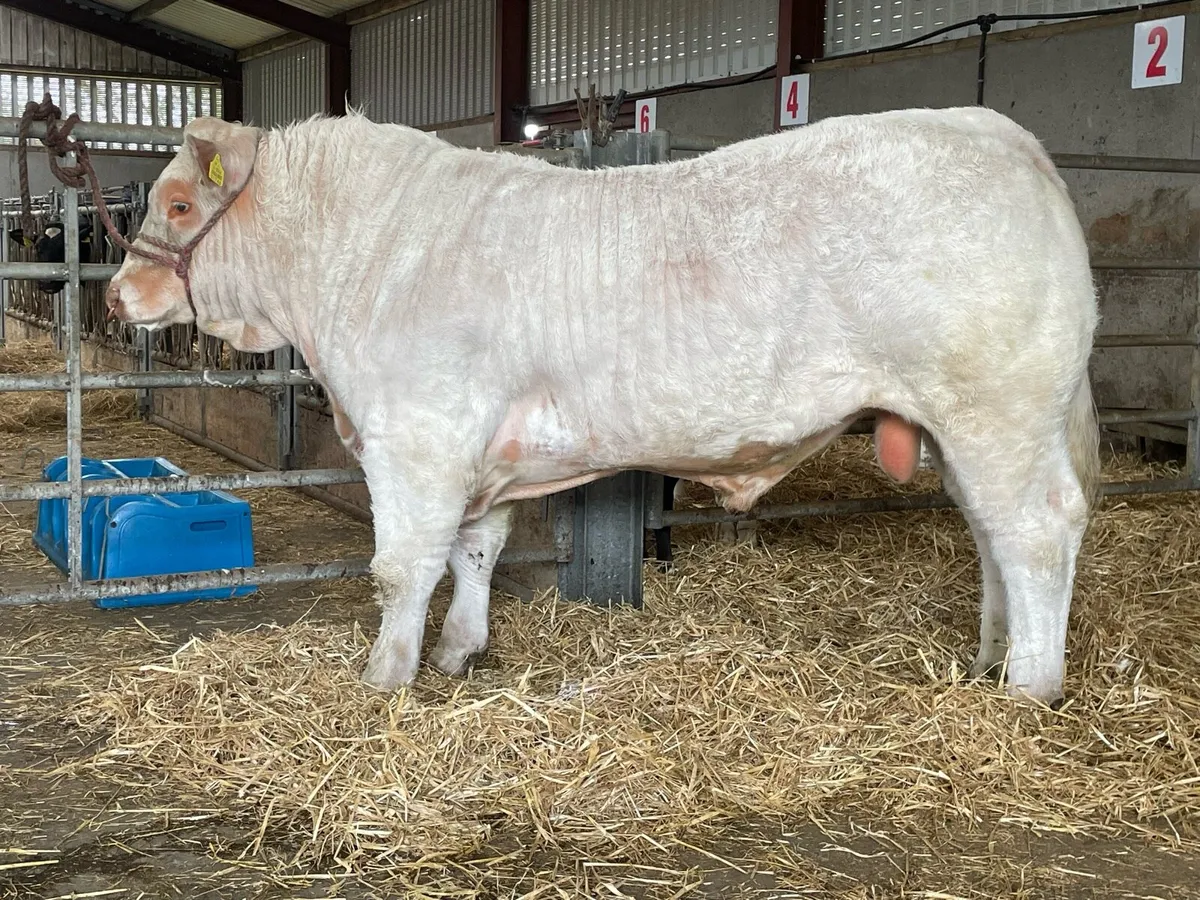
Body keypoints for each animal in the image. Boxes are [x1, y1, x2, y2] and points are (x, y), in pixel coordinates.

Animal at [105, 106, 1100, 708]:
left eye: (180, 202)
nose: (117, 295)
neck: (364, 254)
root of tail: (1002, 135)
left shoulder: (415, 437)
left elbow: (402, 569)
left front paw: (384, 677)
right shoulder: (480, 451)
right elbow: (474, 552)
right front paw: (459, 651)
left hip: (997, 409)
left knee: (1038, 531)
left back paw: (1029, 684)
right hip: (962, 424)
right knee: (989, 533)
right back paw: (990, 657)